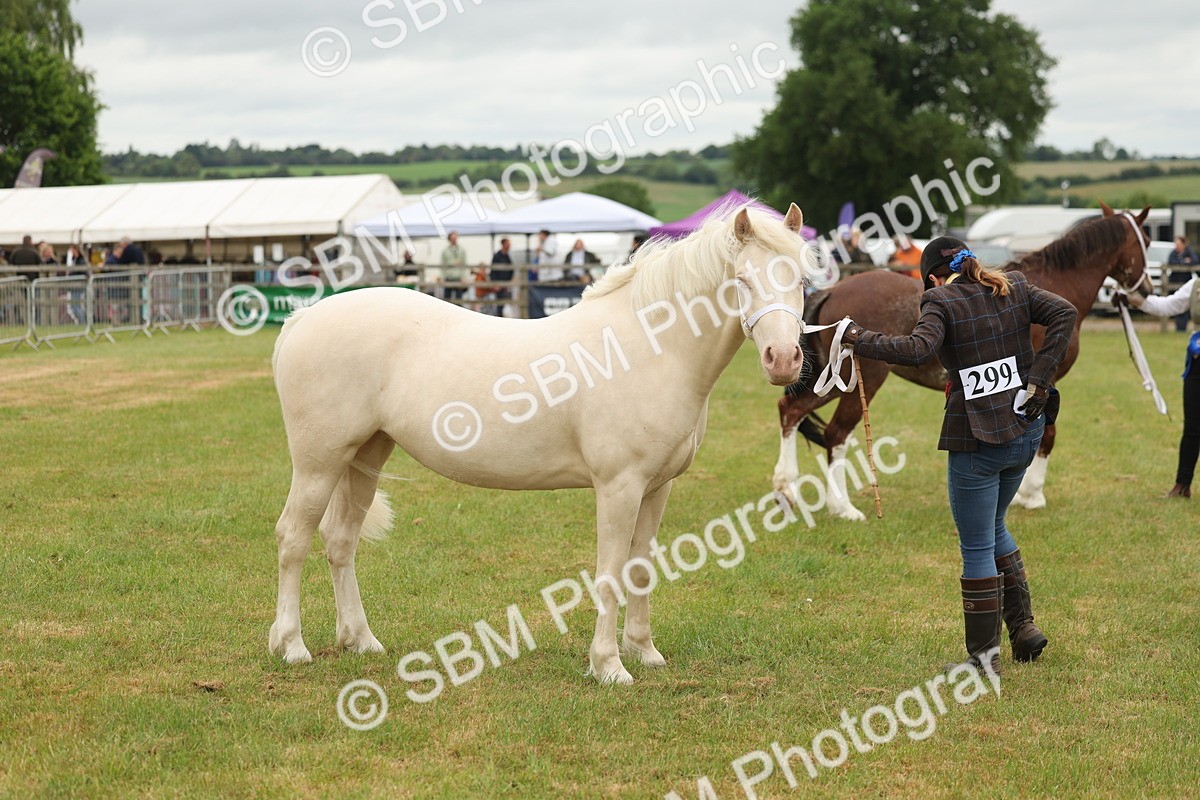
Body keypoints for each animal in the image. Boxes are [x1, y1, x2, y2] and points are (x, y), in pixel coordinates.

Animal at [269, 204, 814, 685]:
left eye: (802, 282)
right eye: (742, 280)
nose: (784, 359)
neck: (646, 348)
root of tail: (303, 319)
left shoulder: (657, 488)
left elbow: (640, 569)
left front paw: (645, 652)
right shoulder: (618, 487)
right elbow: (610, 573)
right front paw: (609, 666)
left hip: (365, 455)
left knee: (341, 541)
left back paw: (360, 640)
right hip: (319, 464)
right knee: (293, 539)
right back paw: (292, 645)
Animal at [772, 202, 1152, 520]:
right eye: (1146, 239)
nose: (1145, 290)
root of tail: (833, 290)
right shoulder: (1045, 381)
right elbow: (1048, 433)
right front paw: (1031, 495)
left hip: (832, 379)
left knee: (791, 410)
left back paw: (786, 490)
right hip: (857, 381)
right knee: (834, 433)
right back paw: (843, 507)